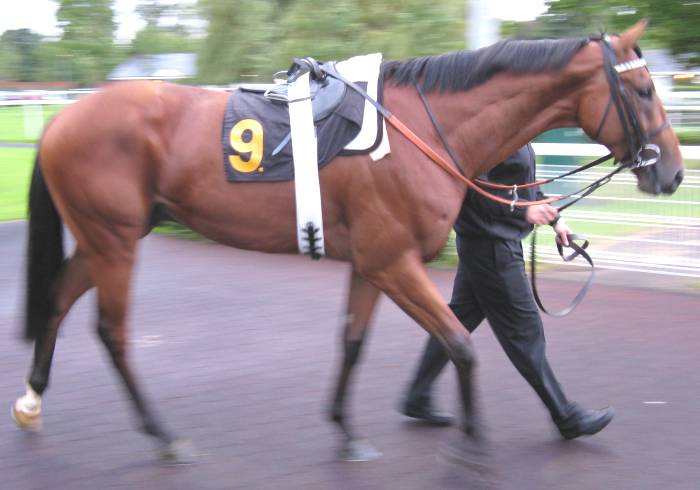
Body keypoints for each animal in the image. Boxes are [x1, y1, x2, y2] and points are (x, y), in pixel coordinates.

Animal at [13, 20, 683, 464]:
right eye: (645, 91)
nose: (673, 173)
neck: (424, 128)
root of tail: (64, 120)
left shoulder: (372, 262)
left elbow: (355, 342)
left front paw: (346, 430)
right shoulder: (393, 260)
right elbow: (461, 346)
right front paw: (472, 448)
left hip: (110, 236)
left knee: (58, 299)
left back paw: (31, 401)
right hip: (115, 241)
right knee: (112, 332)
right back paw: (161, 433)